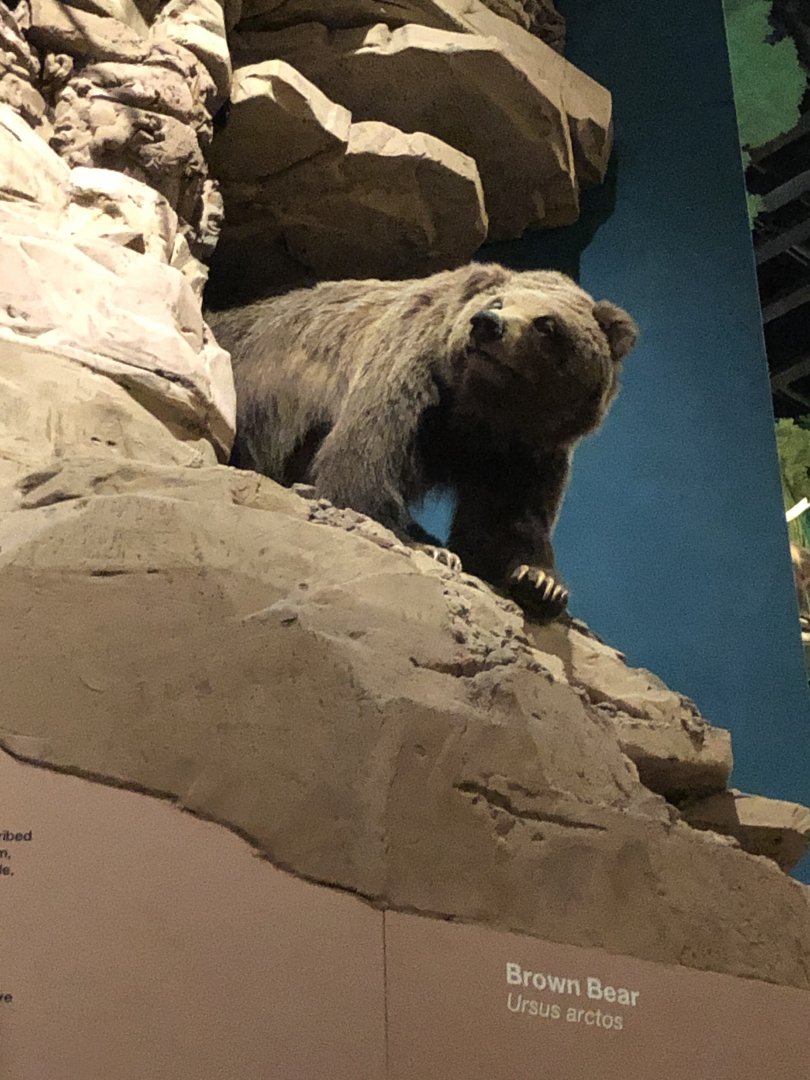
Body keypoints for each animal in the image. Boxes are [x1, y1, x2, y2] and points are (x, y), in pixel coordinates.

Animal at [208, 262, 638, 622]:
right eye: (498, 302)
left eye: (546, 322)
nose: (488, 324)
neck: (478, 414)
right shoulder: (408, 378)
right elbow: (360, 462)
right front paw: (429, 547)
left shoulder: (526, 452)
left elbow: (507, 520)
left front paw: (540, 580)